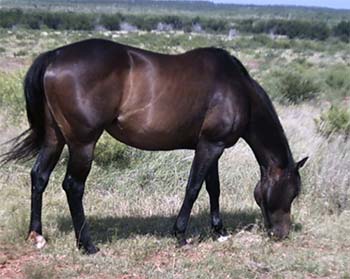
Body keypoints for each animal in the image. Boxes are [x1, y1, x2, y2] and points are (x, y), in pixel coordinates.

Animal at [2, 38, 306, 255]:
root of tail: (54, 56)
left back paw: (37, 236)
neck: (237, 89)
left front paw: (219, 231)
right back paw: (87, 245)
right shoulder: (210, 146)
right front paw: (181, 235)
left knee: (39, 176)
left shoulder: (210, 146)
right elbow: (194, 187)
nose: (282, 234)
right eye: (291, 192)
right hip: (83, 143)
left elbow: (213, 188)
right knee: (73, 186)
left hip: (55, 138)